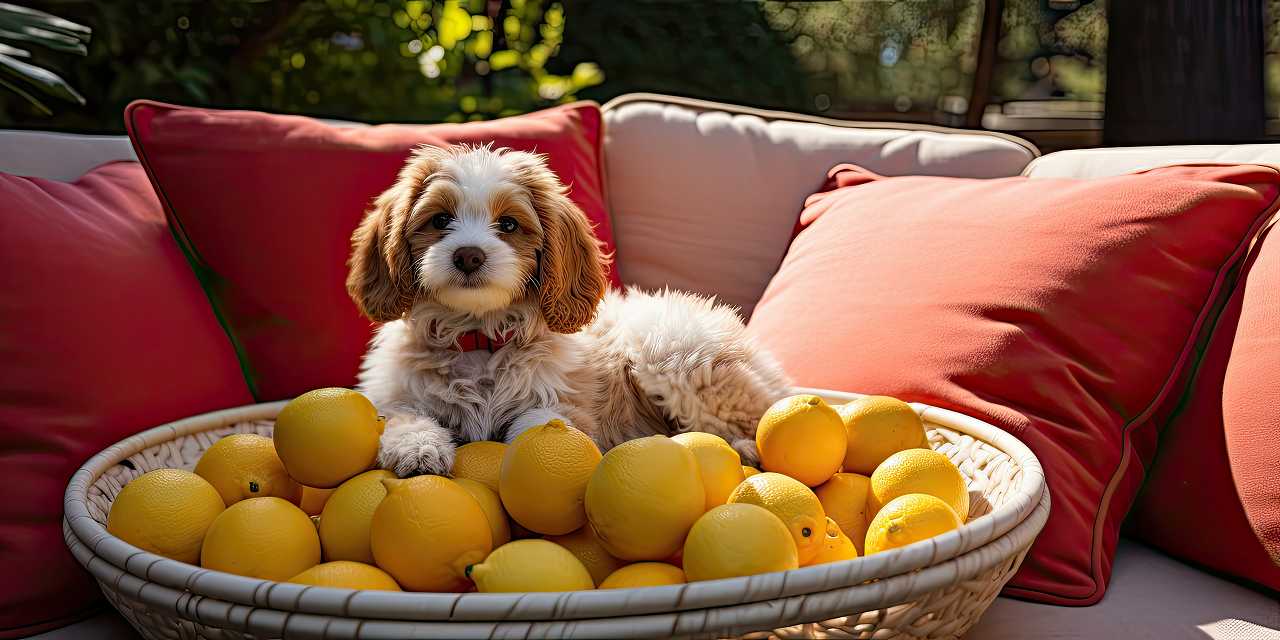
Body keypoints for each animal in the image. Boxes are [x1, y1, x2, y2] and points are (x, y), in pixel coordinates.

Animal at [345, 144, 793, 476]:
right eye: (440, 220)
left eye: (508, 225)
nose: (468, 256)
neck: (479, 336)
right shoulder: (395, 394)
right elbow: (402, 417)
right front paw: (418, 447)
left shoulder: (564, 406)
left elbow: (539, 429)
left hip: (673, 352)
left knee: (750, 423)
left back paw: (743, 449)